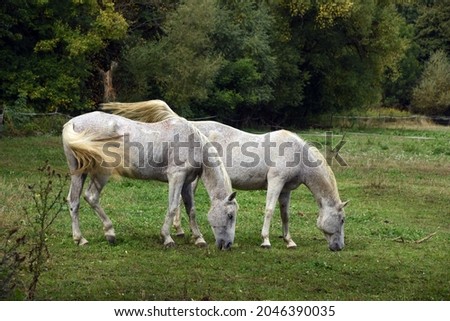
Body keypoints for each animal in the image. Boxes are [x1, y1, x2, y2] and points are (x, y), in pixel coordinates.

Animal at [64, 111, 239, 249]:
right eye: (230, 215)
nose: (227, 245)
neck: (194, 143)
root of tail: (72, 123)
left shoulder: (186, 182)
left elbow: (191, 210)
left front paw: (199, 239)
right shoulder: (176, 176)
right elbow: (173, 207)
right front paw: (167, 238)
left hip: (79, 173)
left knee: (74, 201)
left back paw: (80, 239)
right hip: (102, 173)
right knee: (91, 196)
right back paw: (110, 233)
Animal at [103, 101, 348, 251]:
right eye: (343, 219)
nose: (339, 247)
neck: (296, 152)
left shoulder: (286, 189)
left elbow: (284, 214)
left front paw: (289, 241)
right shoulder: (275, 182)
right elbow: (269, 210)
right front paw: (266, 241)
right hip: (194, 179)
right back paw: (181, 232)